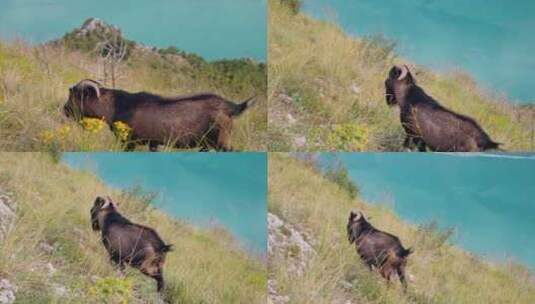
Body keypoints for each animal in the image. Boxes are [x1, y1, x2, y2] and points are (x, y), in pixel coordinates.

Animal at [65, 79, 258, 151]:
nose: (65, 110)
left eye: (74, 95)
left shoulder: (129, 142)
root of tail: (231, 107)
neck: (116, 105)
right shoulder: (153, 143)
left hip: (221, 140)